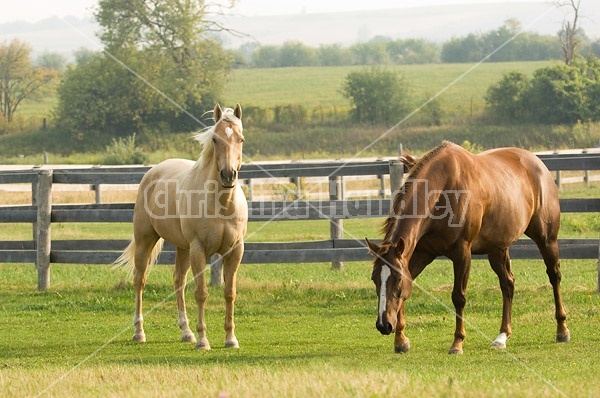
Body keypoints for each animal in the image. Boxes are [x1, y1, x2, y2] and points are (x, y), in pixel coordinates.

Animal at [116, 104, 247, 350]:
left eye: (240, 139)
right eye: (215, 139)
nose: (228, 175)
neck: (221, 203)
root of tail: (154, 171)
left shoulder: (234, 251)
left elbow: (229, 293)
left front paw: (231, 338)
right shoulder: (198, 250)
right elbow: (201, 293)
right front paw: (203, 341)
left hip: (182, 248)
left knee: (178, 281)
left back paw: (186, 332)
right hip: (146, 241)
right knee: (140, 281)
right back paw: (139, 333)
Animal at [366, 142, 572, 354]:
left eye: (397, 279)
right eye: (374, 278)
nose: (383, 325)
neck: (443, 192)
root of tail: (538, 164)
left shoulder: (462, 253)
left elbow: (458, 297)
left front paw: (457, 342)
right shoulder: (422, 253)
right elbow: (406, 293)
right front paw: (401, 340)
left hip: (546, 239)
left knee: (554, 276)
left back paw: (562, 329)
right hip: (497, 248)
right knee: (508, 283)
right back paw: (502, 337)